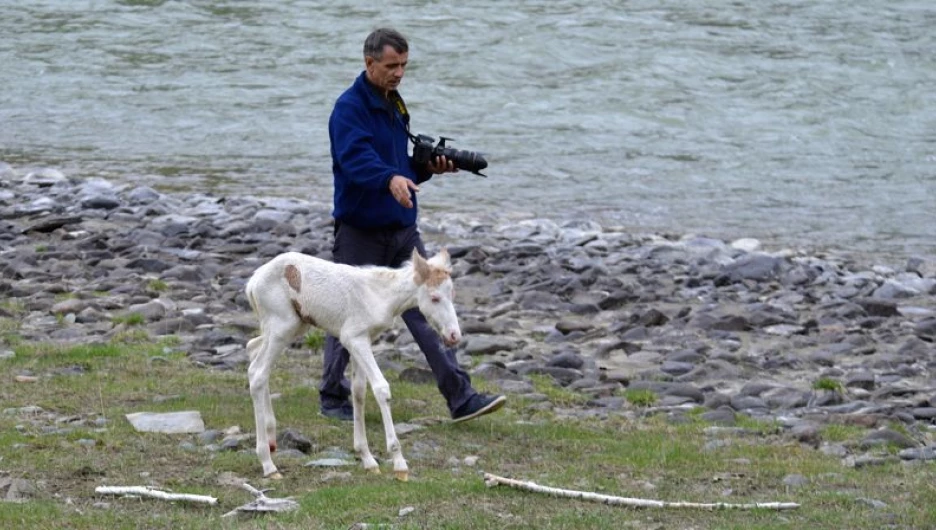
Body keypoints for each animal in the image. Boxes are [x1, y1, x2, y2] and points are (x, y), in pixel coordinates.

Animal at [241, 248, 460, 478]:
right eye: (435, 298)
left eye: (452, 294)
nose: (454, 335)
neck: (381, 295)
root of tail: (253, 281)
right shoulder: (353, 338)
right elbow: (381, 388)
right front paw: (399, 463)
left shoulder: (363, 340)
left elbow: (358, 391)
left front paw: (368, 459)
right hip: (282, 326)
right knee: (258, 372)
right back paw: (267, 463)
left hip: (293, 326)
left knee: (253, 349)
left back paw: (271, 438)